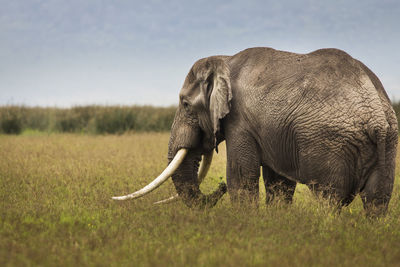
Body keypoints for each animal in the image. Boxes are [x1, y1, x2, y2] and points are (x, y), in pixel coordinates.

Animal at [114, 47, 398, 217]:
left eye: (185, 104)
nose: (218, 187)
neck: (224, 60)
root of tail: (376, 116)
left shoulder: (240, 121)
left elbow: (241, 177)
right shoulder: (273, 129)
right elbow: (278, 183)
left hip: (331, 145)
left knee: (329, 199)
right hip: (388, 143)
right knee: (377, 201)